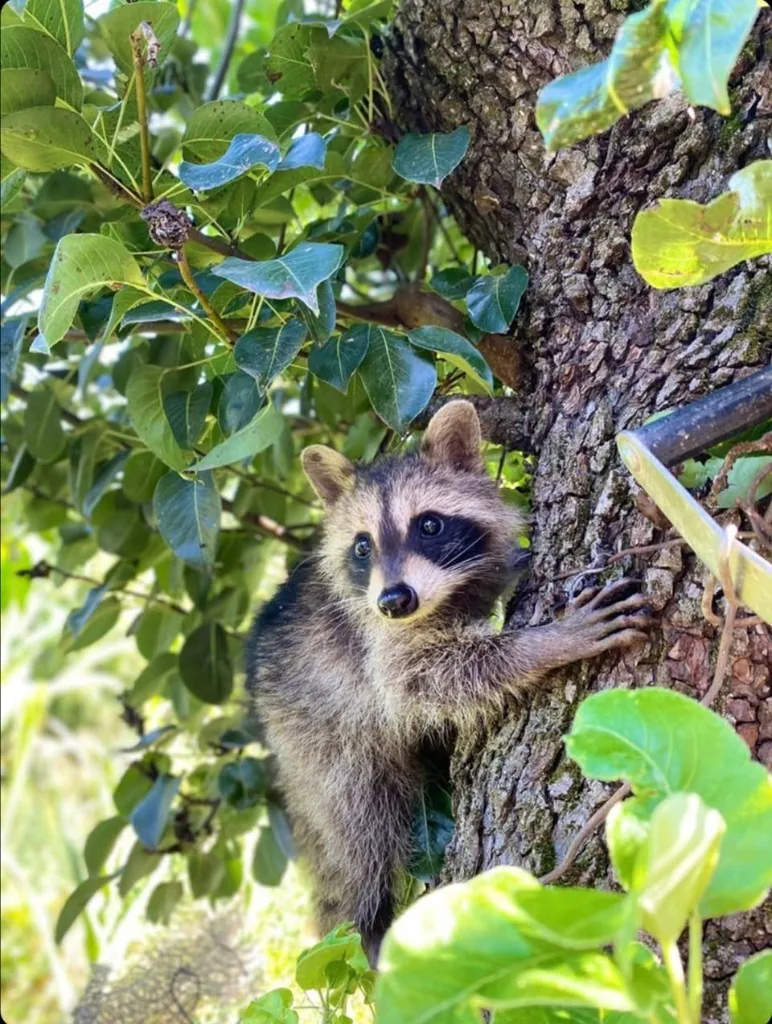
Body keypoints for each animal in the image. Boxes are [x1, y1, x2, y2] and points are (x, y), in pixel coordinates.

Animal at [246, 401, 652, 965]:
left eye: (430, 525)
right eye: (363, 546)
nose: (395, 601)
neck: (443, 595)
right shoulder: (372, 639)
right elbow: (426, 680)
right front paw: (546, 643)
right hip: (318, 738)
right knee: (360, 824)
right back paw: (371, 917)